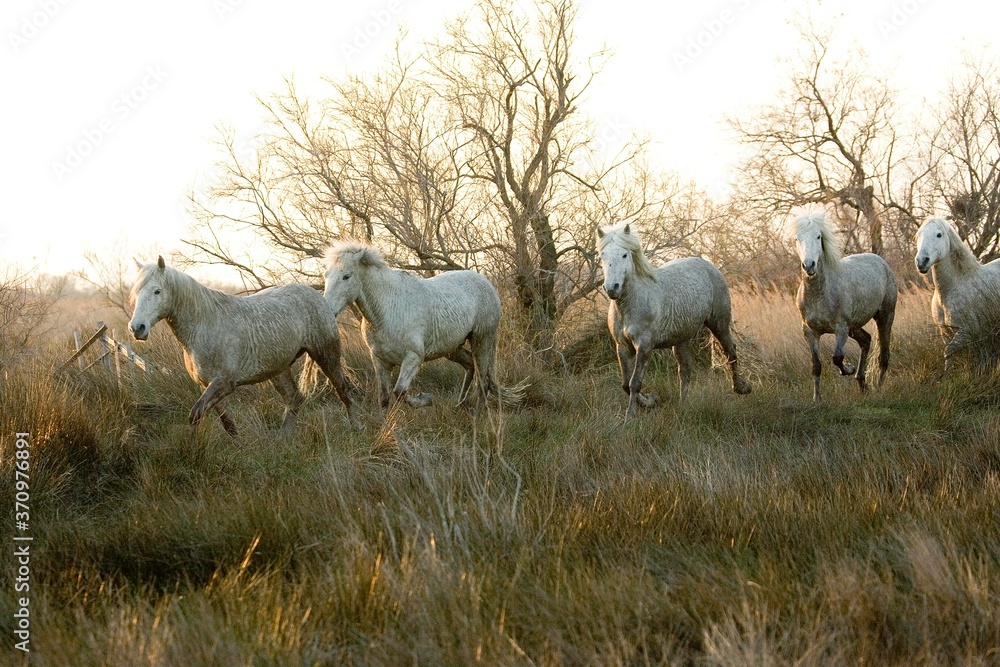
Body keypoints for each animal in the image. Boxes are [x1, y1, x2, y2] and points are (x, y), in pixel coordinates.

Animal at [128, 256, 353, 435]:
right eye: (136, 292)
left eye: (157, 291)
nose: (137, 328)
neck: (205, 325)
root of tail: (318, 296)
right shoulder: (207, 385)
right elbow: (226, 423)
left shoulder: (224, 383)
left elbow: (195, 415)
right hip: (279, 370)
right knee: (294, 400)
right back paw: (282, 442)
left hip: (326, 354)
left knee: (342, 390)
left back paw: (356, 428)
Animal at [321, 242, 501, 408]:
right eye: (326, 275)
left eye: (346, 276)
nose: (327, 310)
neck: (387, 310)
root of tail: (487, 284)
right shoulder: (380, 361)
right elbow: (384, 398)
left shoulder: (413, 358)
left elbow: (399, 391)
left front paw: (426, 399)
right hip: (452, 348)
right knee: (471, 366)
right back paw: (460, 404)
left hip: (482, 341)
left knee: (482, 381)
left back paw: (477, 413)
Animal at [596, 223, 751, 419]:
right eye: (603, 255)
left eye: (624, 255)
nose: (612, 288)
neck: (630, 304)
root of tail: (708, 265)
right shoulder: (622, 347)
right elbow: (625, 384)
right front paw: (650, 401)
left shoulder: (644, 346)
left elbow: (634, 382)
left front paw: (631, 416)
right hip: (681, 339)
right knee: (685, 370)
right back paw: (682, 406)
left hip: (720, 324)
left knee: (730, 351)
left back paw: (742, 388)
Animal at [792, 209, 897, 401]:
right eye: (798, 238)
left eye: (818, 236)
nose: (809, 265)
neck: (820, 294)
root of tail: (881, 262)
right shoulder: (810, 331)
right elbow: (816, 365)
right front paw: (816, 399)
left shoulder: (841, 328)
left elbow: (837, 357)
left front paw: (848, 368)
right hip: (854, 326)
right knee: (866, 340)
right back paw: (862, 383)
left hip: (885, 316)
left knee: (883, 355)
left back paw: (878, 388)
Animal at [915, 216, 1000, 369]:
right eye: (918, 235)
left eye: (939, 235)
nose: (921, 262)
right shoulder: (945, 331)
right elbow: (948, 353)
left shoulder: (966, 331)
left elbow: (949, 350)